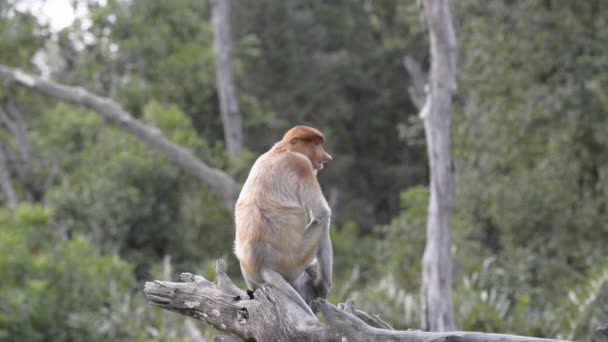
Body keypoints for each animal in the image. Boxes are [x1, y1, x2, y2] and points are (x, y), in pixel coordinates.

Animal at [233, 125, 332, 316]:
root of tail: (263, 264)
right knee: (322, 225)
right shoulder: (302, 164)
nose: (326, 157)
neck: (282, 149)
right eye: (316, 144)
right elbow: (322, 213)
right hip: (293, 263)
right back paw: (322, 287)